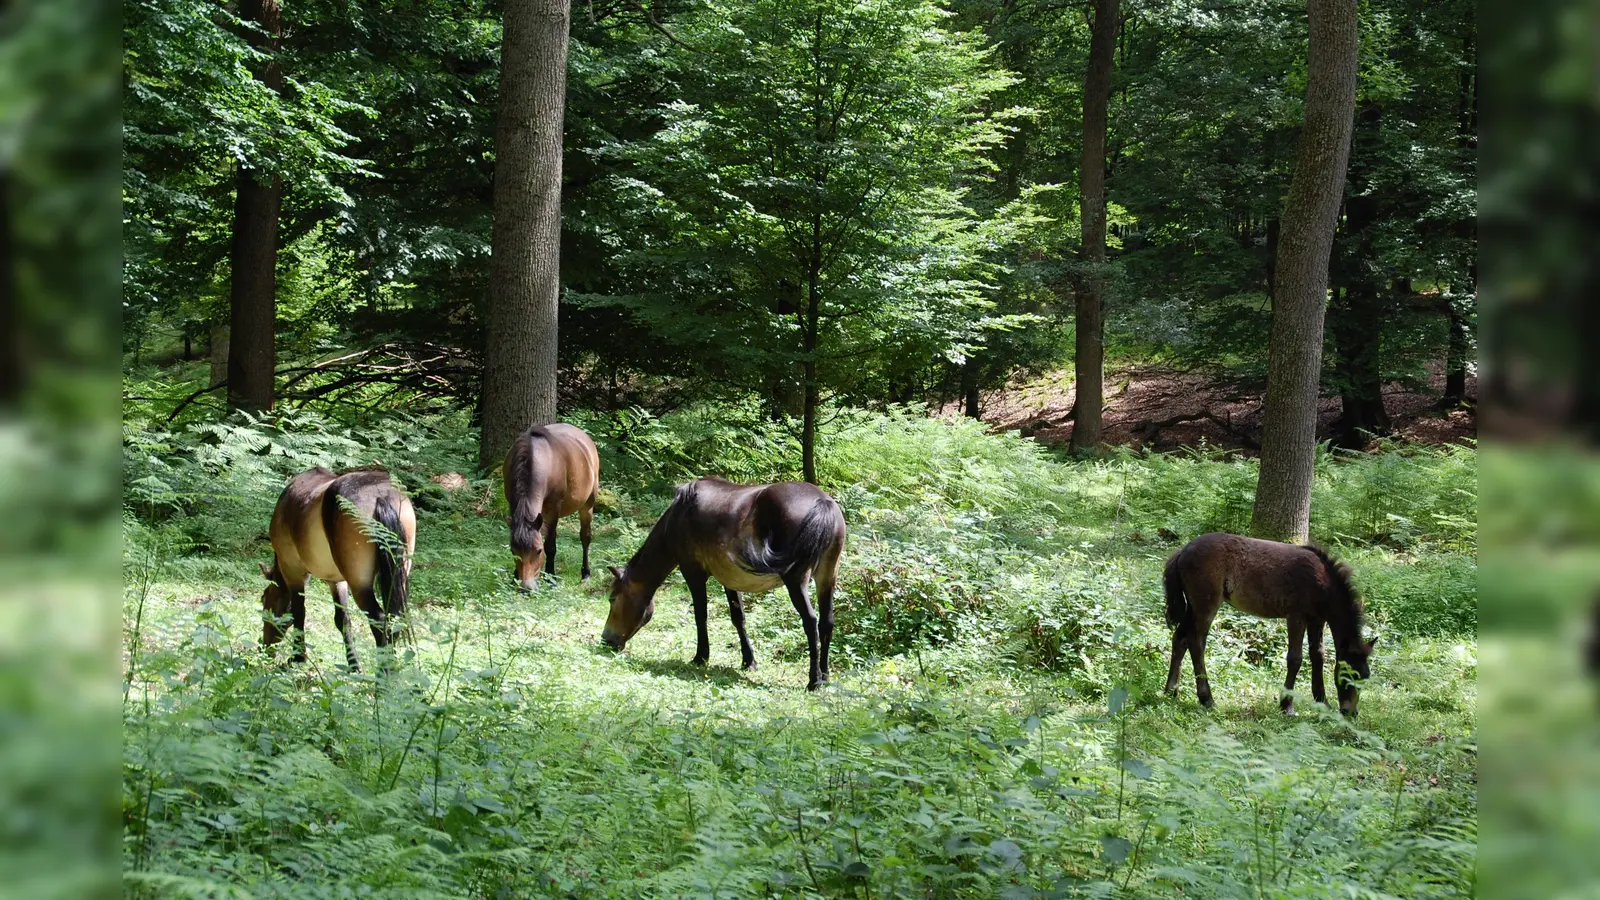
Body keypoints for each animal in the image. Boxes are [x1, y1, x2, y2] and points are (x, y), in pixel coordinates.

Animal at [259, 470, 416, 666]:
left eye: (264, 599)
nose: (264, 647)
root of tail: (381, 495)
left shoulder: (293, 572)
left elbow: (299, 612)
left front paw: (297, 658)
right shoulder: (337, 581)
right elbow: (343, 621)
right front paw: (354, 666)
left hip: (360, 585)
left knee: (379, 621)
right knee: (393, 620)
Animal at [499, 422, 601, 589]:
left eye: (538, 551)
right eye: (513, 551)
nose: (526, 588)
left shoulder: (554, 508)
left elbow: (551, 546)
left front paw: (551, 578)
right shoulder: (512, 504)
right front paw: (514, 577)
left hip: (587, 505)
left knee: (585, 537)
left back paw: (585, 574)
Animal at [601, 477, 851, 685]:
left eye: (613, 598)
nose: (606, 639)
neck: (680, 515)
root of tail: (822, 502)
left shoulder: (693, 572)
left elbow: (700, 615)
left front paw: (701, 656)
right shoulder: (729, 579)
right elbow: (738, 618)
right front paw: (748, 661)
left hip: (796, 580)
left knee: (810, 621)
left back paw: (814, 681)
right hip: (827, 577)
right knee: (826, 622)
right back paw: (825, 675)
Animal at [1164, 531, 1376, 714]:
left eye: (1365, 676)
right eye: (1349, 674)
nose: (1351, 712)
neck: (1322, 581)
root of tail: (1183, 550)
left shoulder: (1317, 620)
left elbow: (1318, 656)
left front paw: (1322, 702)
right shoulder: (1296, 616)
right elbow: (1295, 659)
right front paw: (1287, 705)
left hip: (1192, 607)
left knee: (1180, 638)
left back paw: (1171, 691)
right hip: (1205, 606)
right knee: (1196, 642)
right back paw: (1206, 699)